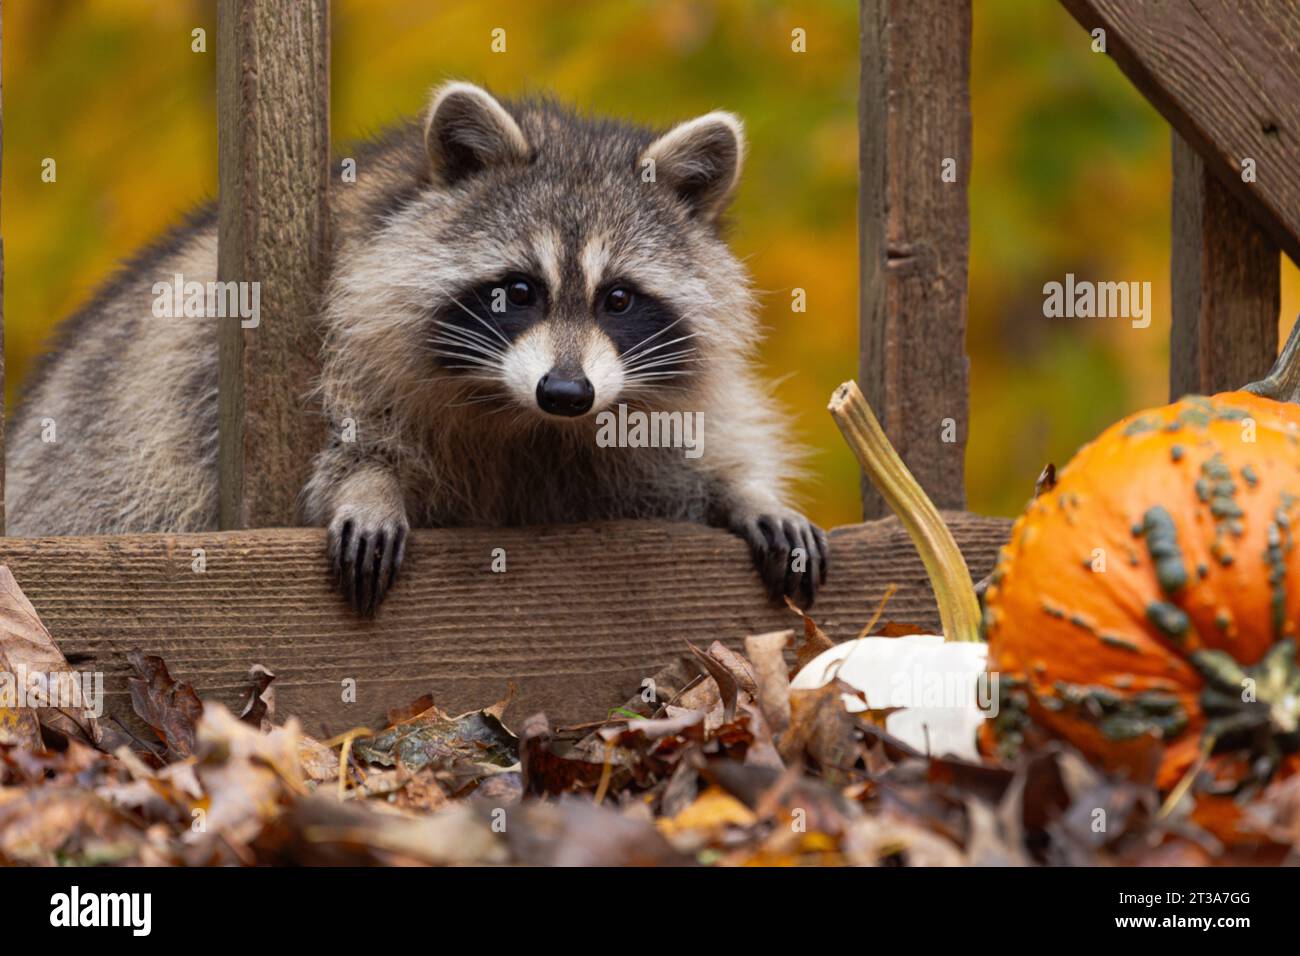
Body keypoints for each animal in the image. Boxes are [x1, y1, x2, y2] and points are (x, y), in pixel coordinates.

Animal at [5, 82, 826, 616]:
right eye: (518, 291)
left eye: (617, 299)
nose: (566, 393)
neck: (523, 420)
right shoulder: (313, 342)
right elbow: (340, 439)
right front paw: (368, 480)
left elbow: (681, 456)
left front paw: (746, 489)